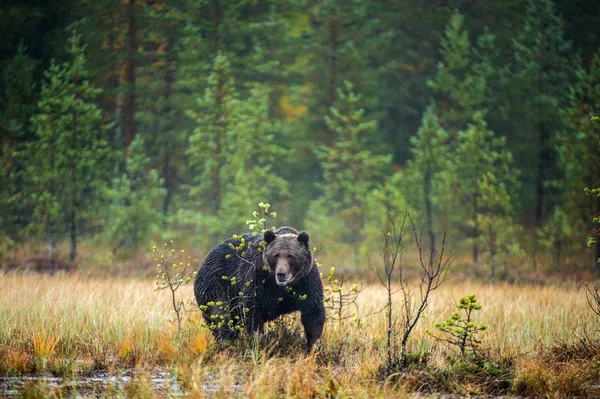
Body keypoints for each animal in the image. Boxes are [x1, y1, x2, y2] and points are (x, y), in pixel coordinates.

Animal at [193, 228, 326, 350]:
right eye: (276, 255)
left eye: (291, 256)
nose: (281, 274)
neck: (283, 286)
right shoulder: (256, 278)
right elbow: (253, 312)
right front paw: (258, 342)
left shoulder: (307, 282)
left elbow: (313, 314)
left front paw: (313, 346)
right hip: (215, 285)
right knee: (220, 315)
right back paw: (227, 342)